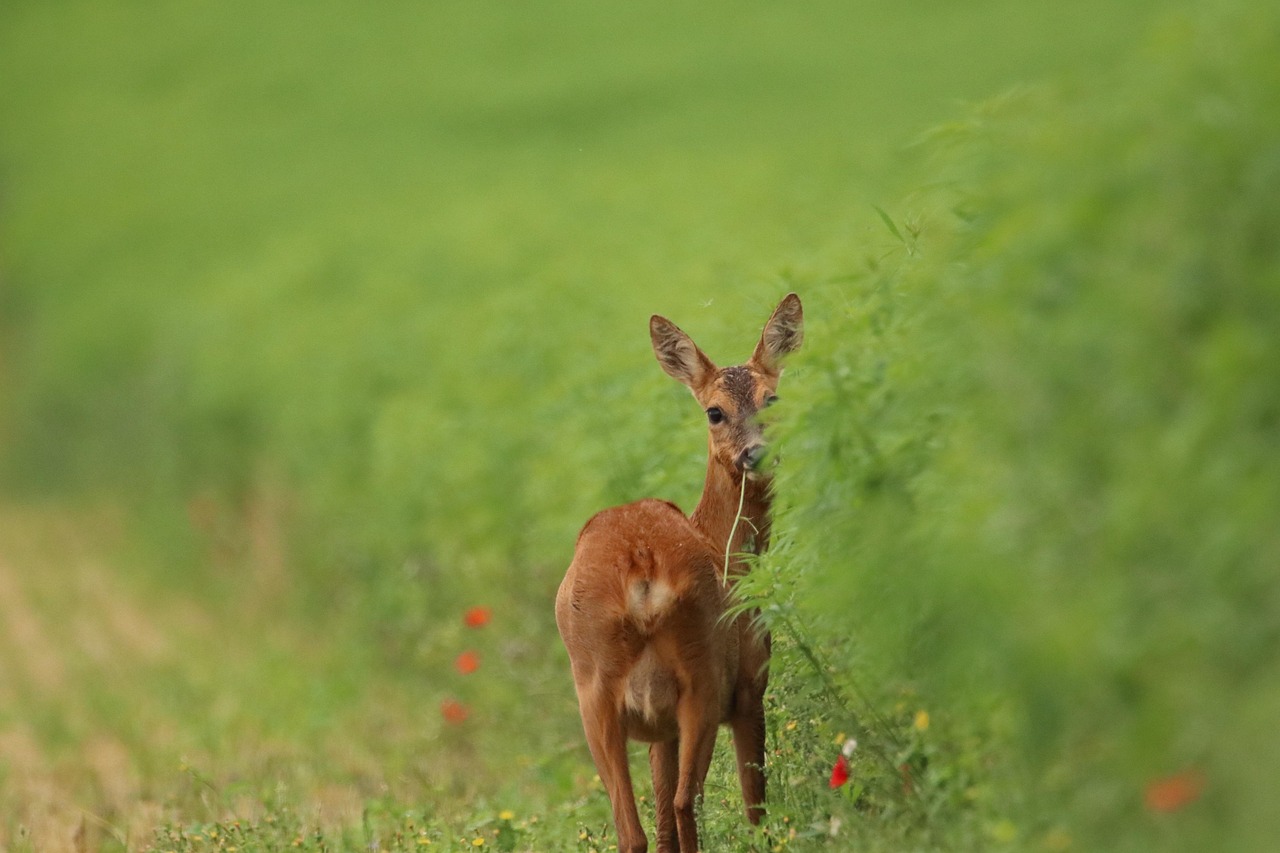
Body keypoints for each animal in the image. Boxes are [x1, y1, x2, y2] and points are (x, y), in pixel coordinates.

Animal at [558, 294, 803, 850]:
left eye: (772, 399)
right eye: (715, 411)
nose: (756, 453)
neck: (728, 553)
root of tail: (641, 564)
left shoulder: (660, 730)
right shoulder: (750, 682)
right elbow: (754, 799)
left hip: (595, 694)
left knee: (637, 828)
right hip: (702, 676)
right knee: (684, 803)